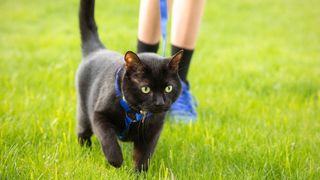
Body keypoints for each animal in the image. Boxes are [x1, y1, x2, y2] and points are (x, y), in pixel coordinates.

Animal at [75, 0, 182, 172]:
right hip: (84, 112)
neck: (136, 114)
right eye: (146, 89)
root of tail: (97, 49)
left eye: (168, 88)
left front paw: (139, 173)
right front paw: (116, 161)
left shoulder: (153, 131)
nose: (160, 102)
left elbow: (144, 155)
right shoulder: (99, 115)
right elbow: (108, 138)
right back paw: (85, 151)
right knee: (82, 132)